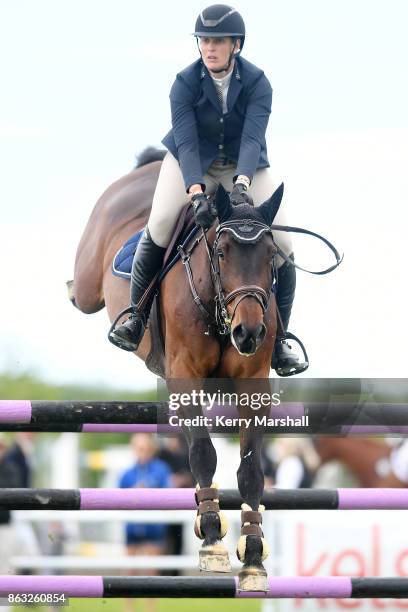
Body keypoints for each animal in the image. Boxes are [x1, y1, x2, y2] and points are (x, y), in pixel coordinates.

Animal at [70, 147, 286, 588]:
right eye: (221, 253)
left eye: (272, 257)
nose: (249, 333)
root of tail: (148, 168)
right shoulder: (184, 375)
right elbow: (203, 452)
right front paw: (212, 539)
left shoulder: (253, 385)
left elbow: (251, 468)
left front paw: (254, 555)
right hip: (88, 283)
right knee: (79, 291)